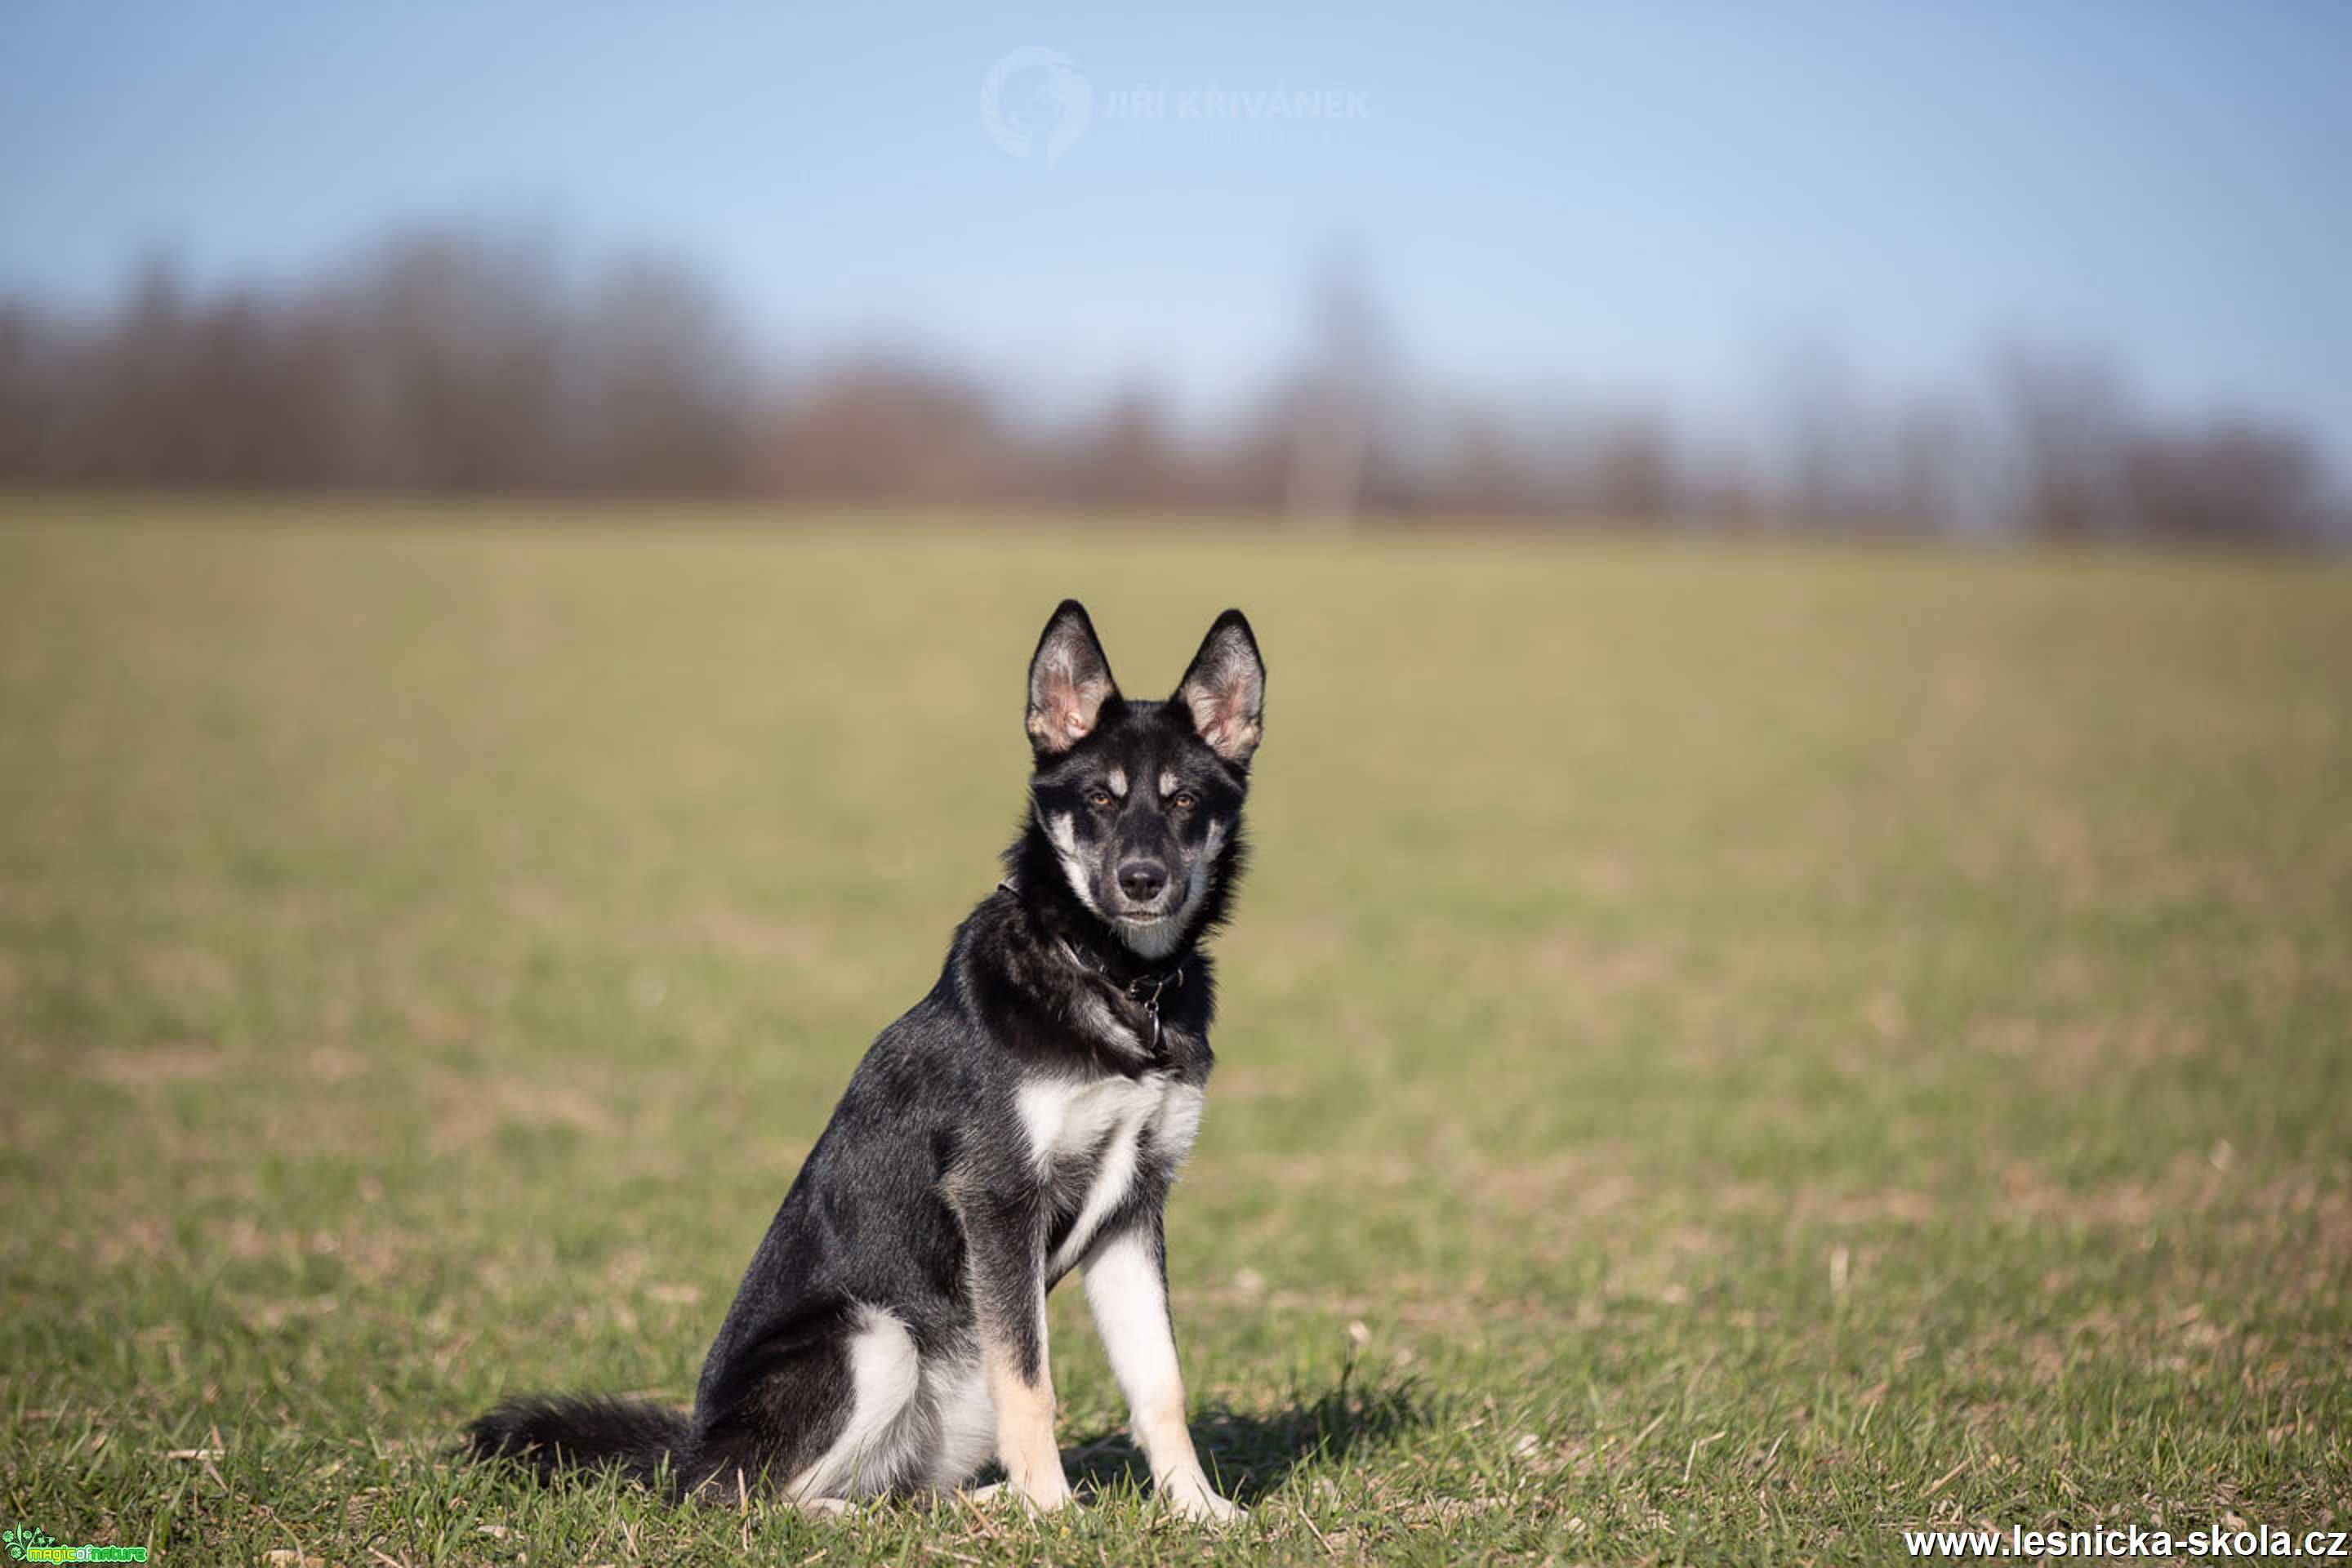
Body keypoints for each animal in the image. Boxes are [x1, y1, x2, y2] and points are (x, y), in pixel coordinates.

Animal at [472, 601, 1270, 1523]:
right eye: (1099, 799)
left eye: (1185, 802)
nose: (1141, 882)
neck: (1112, 976)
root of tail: (687, 1451)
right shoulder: (999, 1197)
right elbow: (1031, 1384)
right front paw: (1056, 1517)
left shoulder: (1134, 1207)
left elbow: (1160, 1383)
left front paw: (1201, 1512)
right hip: (874, 1336)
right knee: (757, 1495)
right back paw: (883, 1517)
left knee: (904, 1482)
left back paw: (974, 1510)